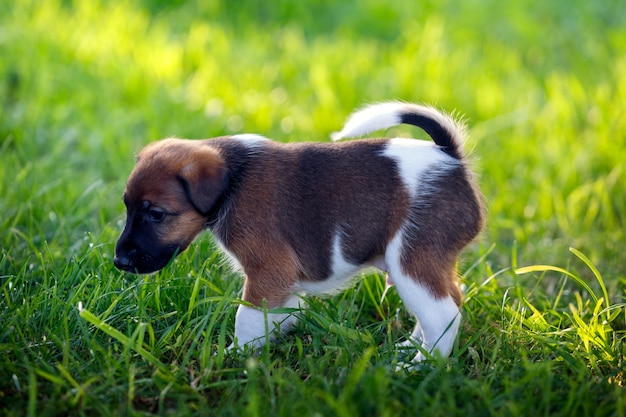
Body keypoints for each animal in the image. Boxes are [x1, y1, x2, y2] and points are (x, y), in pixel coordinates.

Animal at [113, 102, 482, 362]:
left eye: (156, 215)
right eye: (127, 207)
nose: (119, 262)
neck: (232, 180)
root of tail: (450, 157)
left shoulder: (268, 274)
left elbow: (246, 319)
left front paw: (232, 358)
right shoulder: (282, 286)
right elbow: (276, 317)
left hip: (411, 262)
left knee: (443, 315)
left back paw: (416, 365)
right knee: (447, 301)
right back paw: (409, 348)